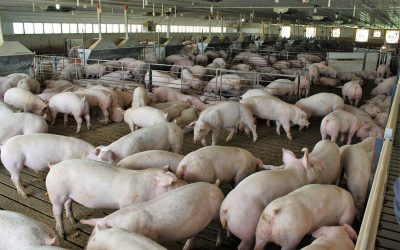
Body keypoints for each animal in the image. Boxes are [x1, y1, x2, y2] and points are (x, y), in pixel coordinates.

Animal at [46, 159, 184, 237]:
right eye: (173, 182)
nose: (186, 183)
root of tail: (53, 167)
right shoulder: (126, 203)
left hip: (68, 195)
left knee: (67, 204)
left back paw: (75, 221)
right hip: (56, 194)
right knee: (56, 212)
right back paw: (63, 235)